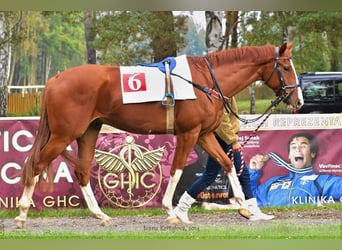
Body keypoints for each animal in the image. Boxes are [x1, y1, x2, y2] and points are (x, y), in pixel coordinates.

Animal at [14, 43, 304, 229]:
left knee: (82, 171)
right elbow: (176, 170)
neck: (204, 81)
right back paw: (22, 213)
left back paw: (101, 215)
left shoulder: (203, 135)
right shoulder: (188, 133)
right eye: (286, 68)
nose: (299, 100)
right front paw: (171, 210)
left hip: (88, 132)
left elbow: (226, 162)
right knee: (37, 165)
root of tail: (55, 79)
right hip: (64, 135)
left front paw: (244, 205)